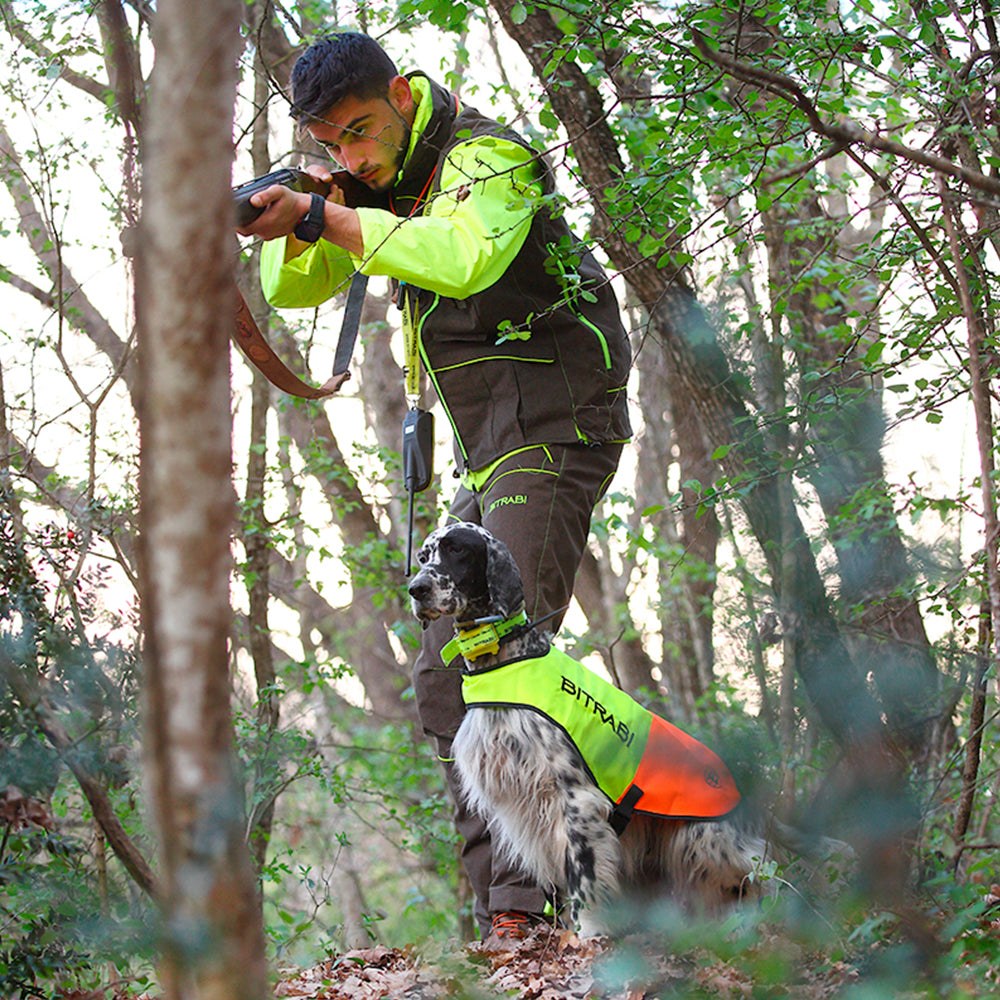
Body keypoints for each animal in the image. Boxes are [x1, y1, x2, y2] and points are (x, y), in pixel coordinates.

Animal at [406, 520, 772, 932]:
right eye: (423, 556)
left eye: (457, 550)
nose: (417, 588)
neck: (505, 661)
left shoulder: (575, 799)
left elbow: (584, 883)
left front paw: (587, 937)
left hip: (704, 841)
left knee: (757, 869)